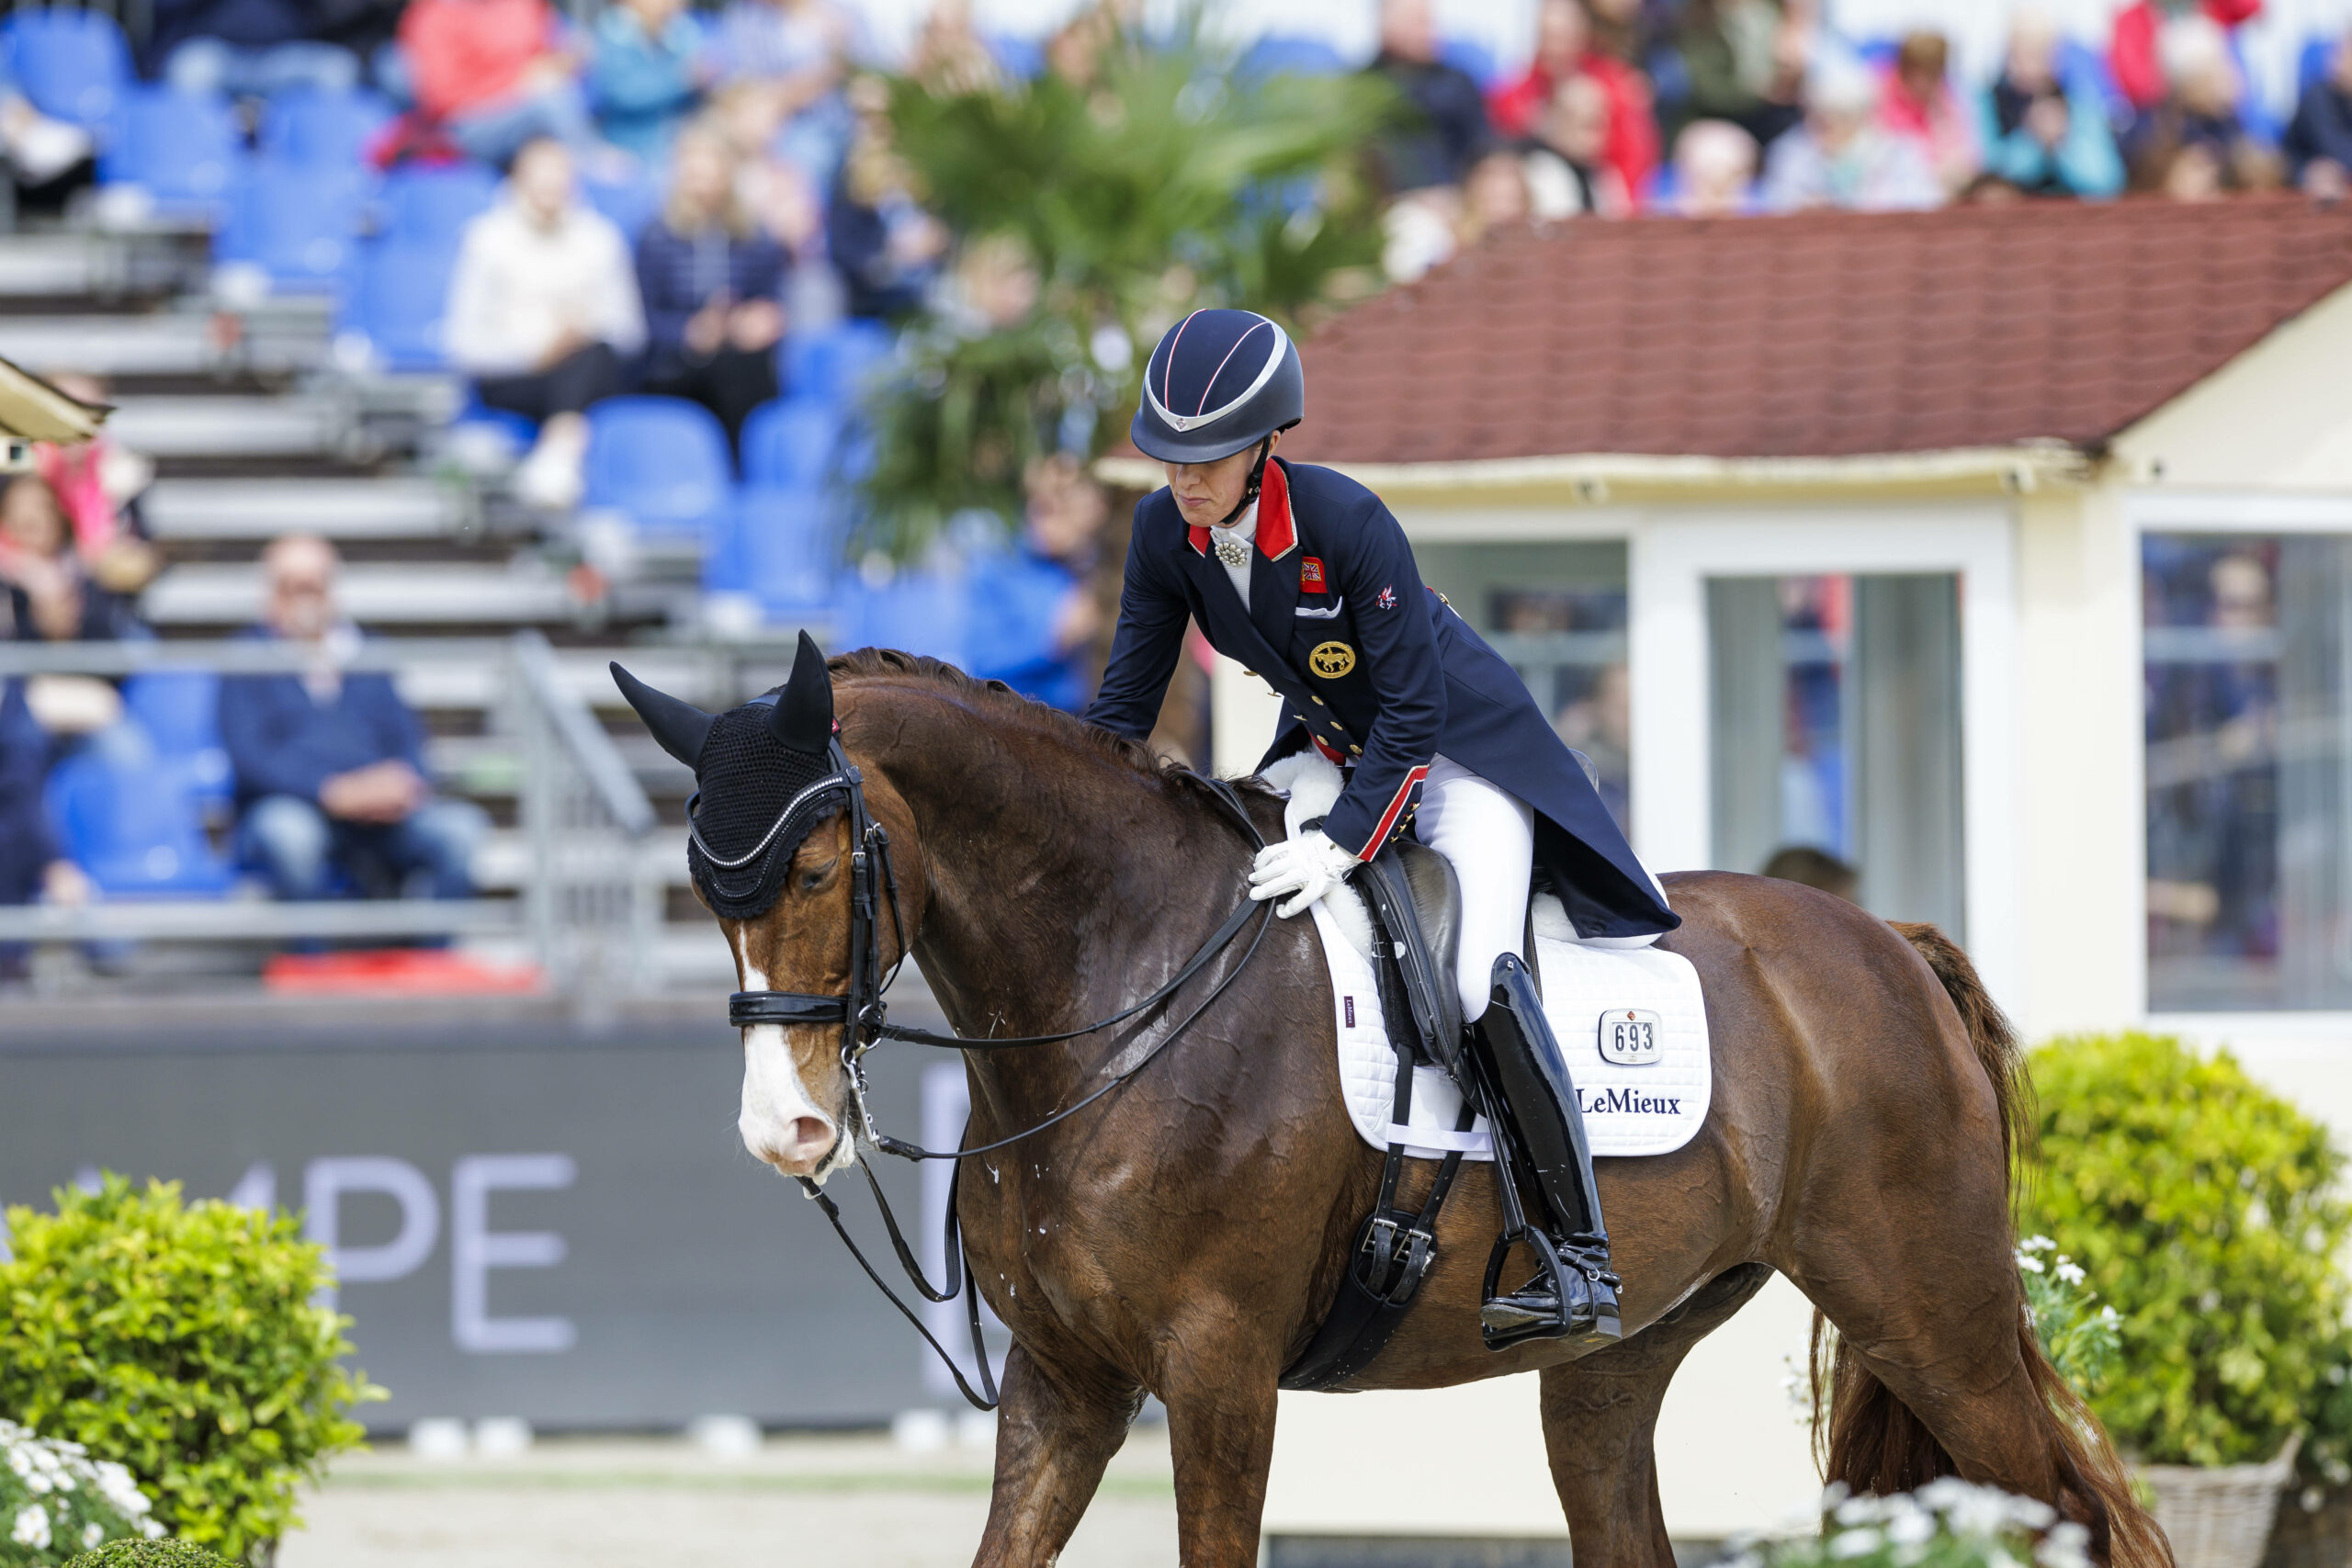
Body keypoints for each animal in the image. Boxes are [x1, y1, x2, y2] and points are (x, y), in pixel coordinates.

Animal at [686, 653, 2164, 1568]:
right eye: (706, 889)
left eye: (812, 869)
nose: (784, 1132)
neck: (1120, 983)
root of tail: (1889, 942)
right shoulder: (1065, 1381)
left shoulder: (1216, 1372)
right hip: (1617, 1361)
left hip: (1930, 1314)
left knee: (2070, 1511)